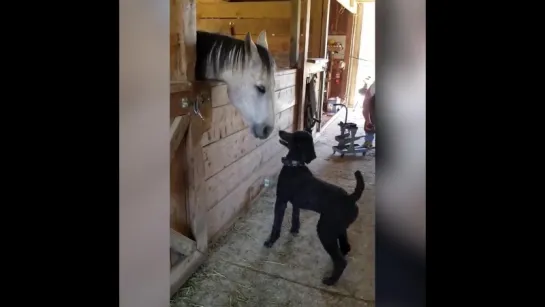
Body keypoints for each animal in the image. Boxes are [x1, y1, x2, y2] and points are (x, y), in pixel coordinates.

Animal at [264, 130, 366, 286]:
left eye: (293, 136)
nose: (280, 131)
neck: (295, 165)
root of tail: (351, 198)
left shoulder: (281, 201)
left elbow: (276, 225)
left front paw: (271, 241)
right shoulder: (296, 203)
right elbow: (295, 216)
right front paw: (294, 230)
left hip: (325, 230)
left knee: (341, 262)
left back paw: (331, 280)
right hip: (339, 229)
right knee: (345, 248)